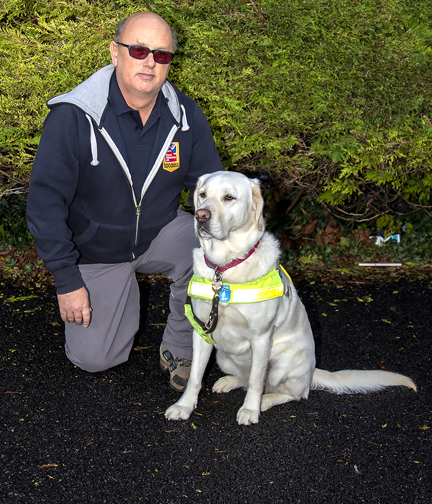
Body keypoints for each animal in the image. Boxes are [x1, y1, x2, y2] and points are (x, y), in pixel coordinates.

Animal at [165, 171, 416, 424]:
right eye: (203, 195)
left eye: (229, 197)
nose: (201, 215)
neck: (226, 267)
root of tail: (312, 371)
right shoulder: (202, 332)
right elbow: (195, 376)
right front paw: (184, 406)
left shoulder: (261, 337)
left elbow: (256, 381)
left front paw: (250, 410)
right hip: (223, 356)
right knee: (246, 379)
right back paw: (229, 381)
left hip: (283, 361)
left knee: (292, 393)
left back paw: (264, 402)